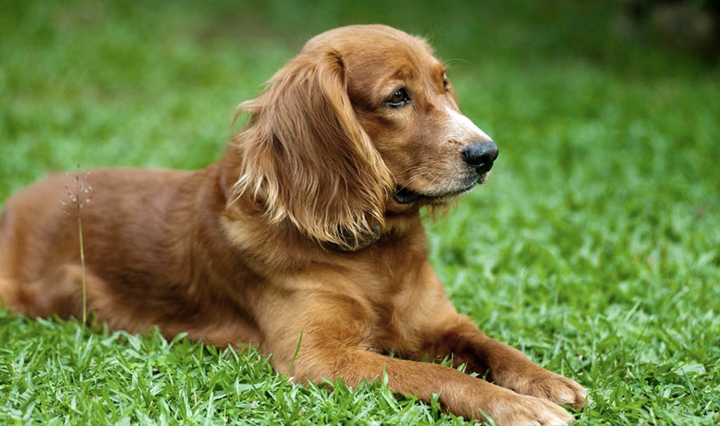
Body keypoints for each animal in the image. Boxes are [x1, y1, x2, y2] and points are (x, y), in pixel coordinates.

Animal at [0, 25, 584, 424]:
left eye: (444, 86)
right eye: (397, 97)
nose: (487, 154)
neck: (375, 251)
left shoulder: (440, 322)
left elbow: (492, 346)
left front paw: (544, 382)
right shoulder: (319, 358)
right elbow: (433, 373)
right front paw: (517, 407)